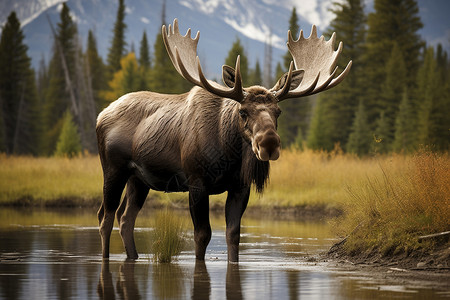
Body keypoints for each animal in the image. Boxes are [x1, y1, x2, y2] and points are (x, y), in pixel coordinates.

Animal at [97, 19, 352, 262]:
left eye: (278, 112)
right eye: (243, 112)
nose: (268, 144)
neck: (227, 155)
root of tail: (101, 114)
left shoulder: (240, 186)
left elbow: (233, 234)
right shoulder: (196, 182)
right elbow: (202, 235)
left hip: (138, 179)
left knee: (125, 218)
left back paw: (133, 256)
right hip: (113, 169)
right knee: (105, 217)